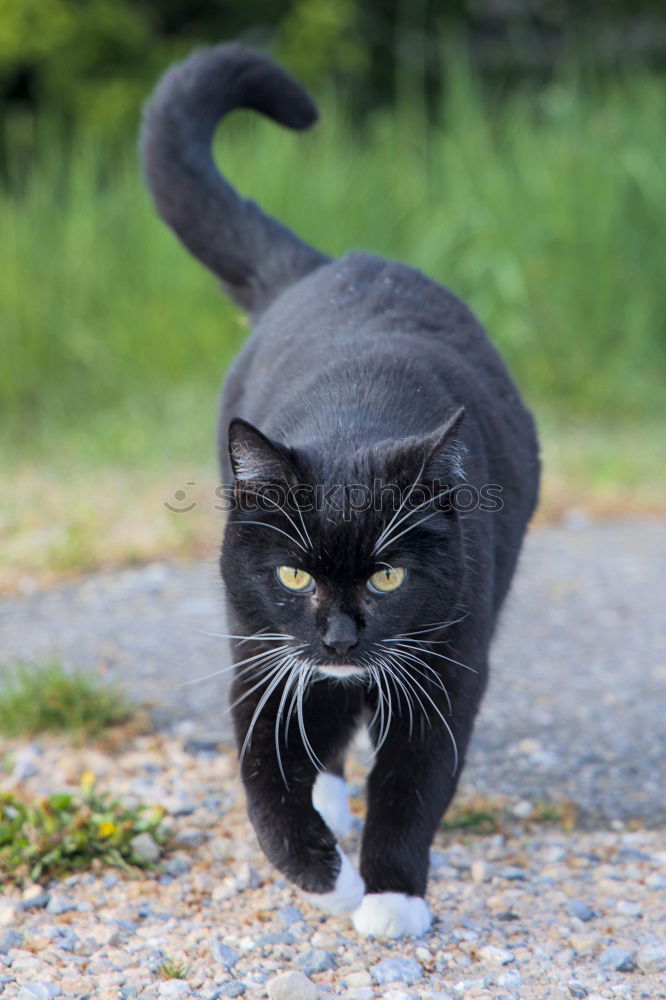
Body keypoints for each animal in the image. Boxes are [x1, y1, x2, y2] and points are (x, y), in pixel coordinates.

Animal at [141, 45, 540, 936]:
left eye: (388, 576)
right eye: (294, 573)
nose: (340, 636)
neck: (358, 418)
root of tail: (330, 267)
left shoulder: (450, 657)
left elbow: (414, 781)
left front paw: (391, 894)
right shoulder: (260, 643)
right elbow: (263, 767)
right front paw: (323, 873)